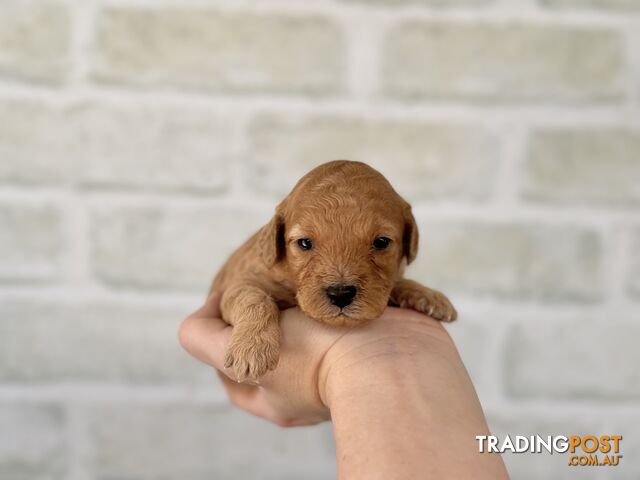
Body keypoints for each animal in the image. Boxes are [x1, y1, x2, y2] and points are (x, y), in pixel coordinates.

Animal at [212, 161, 458, 382]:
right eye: (304, 243)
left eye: (381, 242)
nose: (340, 294)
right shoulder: (238, 282)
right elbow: (253, 298)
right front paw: (252, 348)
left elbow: (396, 282)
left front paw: (429, 296)